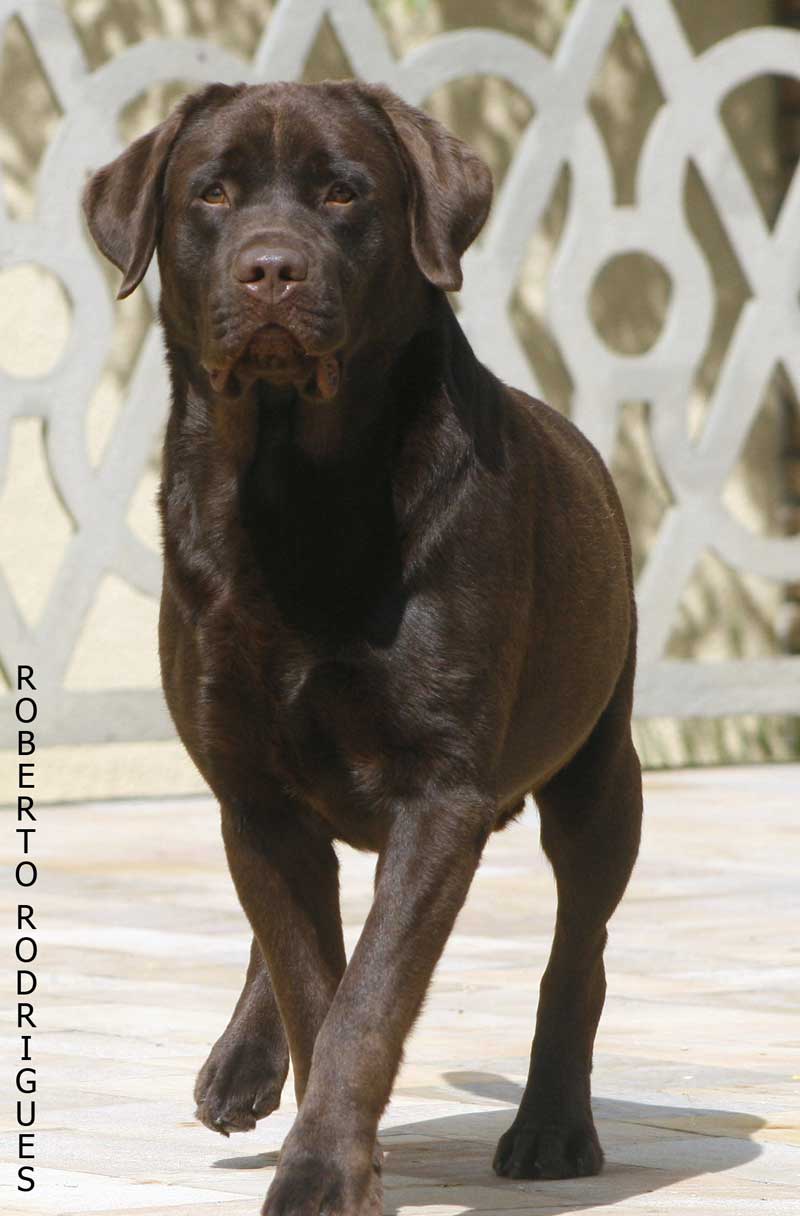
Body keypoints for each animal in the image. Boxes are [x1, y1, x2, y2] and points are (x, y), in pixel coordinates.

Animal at [83, 79, 643, 1216]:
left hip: (600, 771)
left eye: (344, 193)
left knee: (579, 948)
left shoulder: (439, 792)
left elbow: (369, 1000)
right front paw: (322, 1143)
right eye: (211, 192)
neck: (295, 487)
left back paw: (553, 1125)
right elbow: (315, 985)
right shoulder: (248, 786)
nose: (271, 268)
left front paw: (321, 1172)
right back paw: (240, 1063)